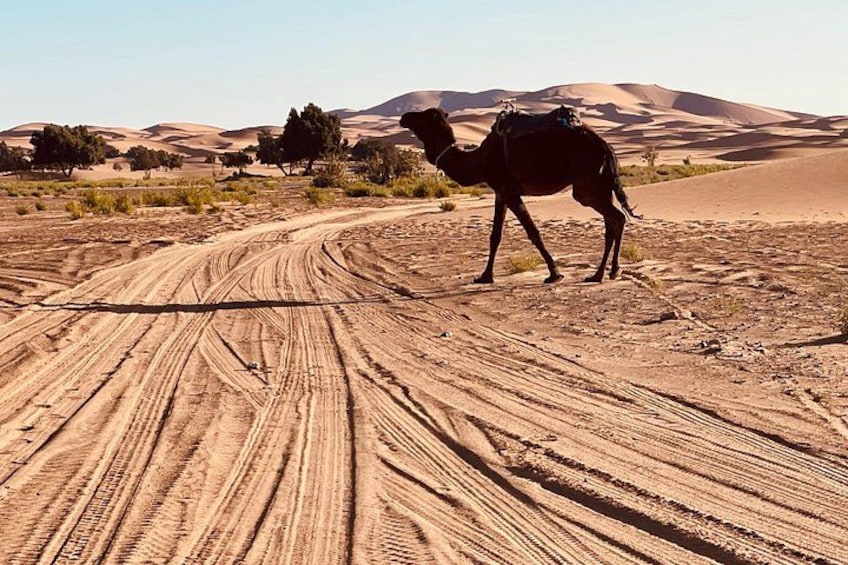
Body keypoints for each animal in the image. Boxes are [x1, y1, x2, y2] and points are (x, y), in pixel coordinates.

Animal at [400, 106, 641, 284]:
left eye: (423, 116)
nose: (403, 117)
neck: (479, 159)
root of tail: (606, 146)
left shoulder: (509, 190)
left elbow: (532, 232)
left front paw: (554, 274)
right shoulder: (501, 192)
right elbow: (495, 236)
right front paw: (485, 276)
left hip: (586, 187)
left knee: (616, 217)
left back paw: (602, 274)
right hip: (601, 185)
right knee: (613, 221)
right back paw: (606, 272)